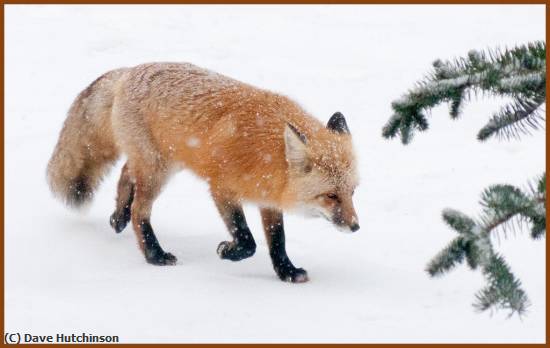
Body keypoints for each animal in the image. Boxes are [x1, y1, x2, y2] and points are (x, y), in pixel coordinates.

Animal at [47, 62, 360, 282]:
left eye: (353, 192)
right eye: (330, 196)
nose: (356, 227)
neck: (269, 155)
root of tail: (129, 71)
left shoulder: (268, 198)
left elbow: (277, 241)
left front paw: (286, 272)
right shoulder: (221, 187)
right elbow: (248, 240)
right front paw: (228, 252)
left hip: (161, 162)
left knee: (126, 173)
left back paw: (118, 217)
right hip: (157, 170)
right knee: (140, 211)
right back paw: (154, 254)